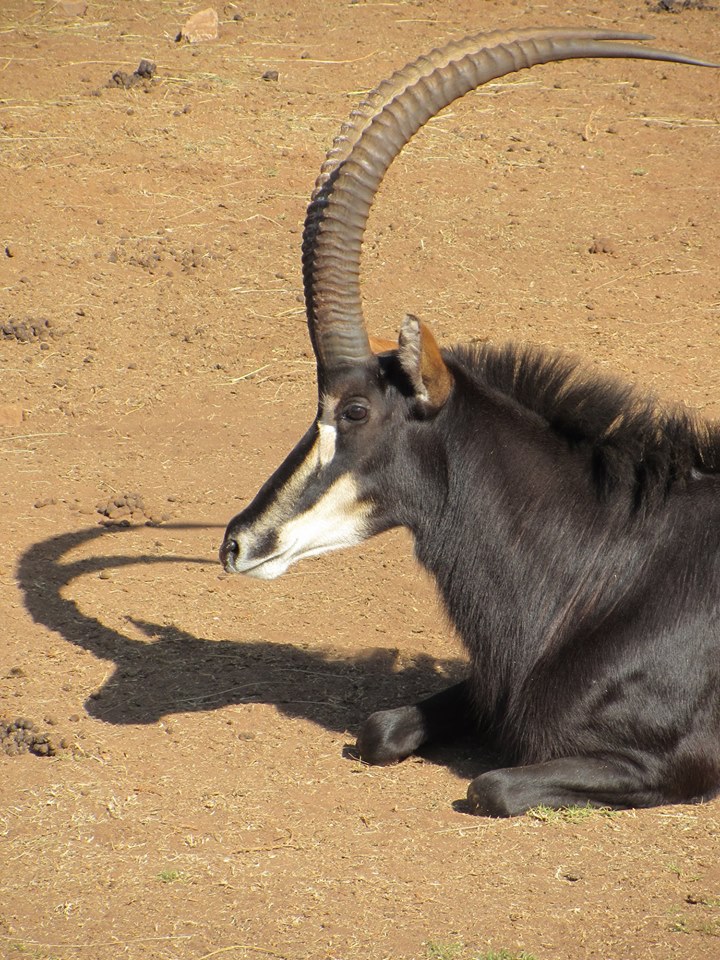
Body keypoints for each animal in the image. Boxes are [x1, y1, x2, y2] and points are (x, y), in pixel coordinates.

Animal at [220, 27, 720, 816]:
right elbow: (382, 727)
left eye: (355, 410)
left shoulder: (675, 767)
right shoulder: (490, 691)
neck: (610, 562)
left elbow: (495, 786)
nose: (238, 543)